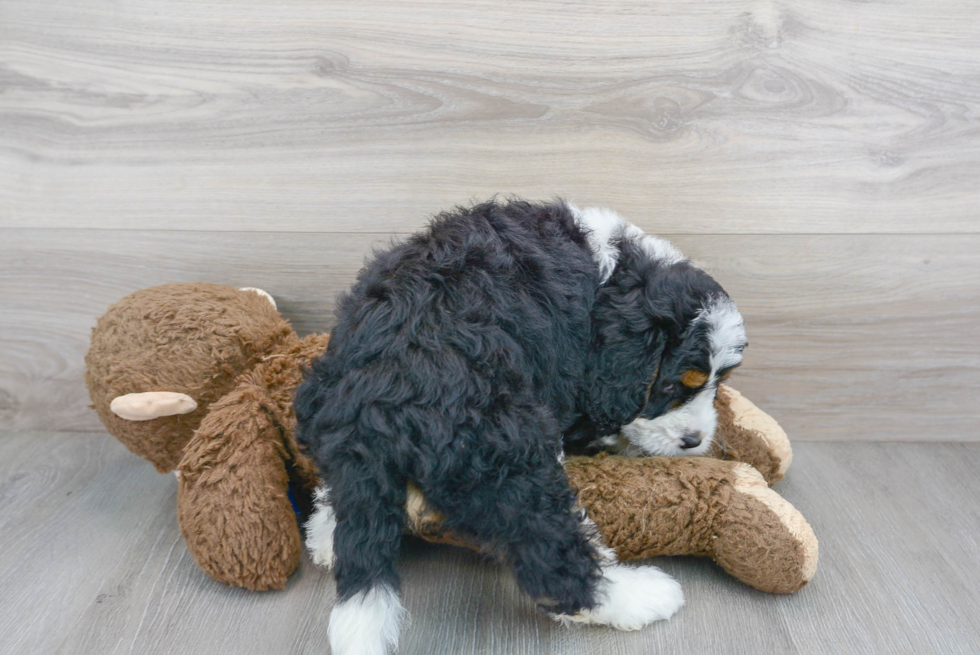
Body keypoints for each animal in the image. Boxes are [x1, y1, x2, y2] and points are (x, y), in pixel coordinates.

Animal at [294, 199, 748, 655]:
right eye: (671, 385)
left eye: (718, 382)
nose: (694, 440)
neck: (611, 278)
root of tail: (373, 401)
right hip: (507, 450)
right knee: (552, 562)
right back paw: (642, 596)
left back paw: (325, 532)